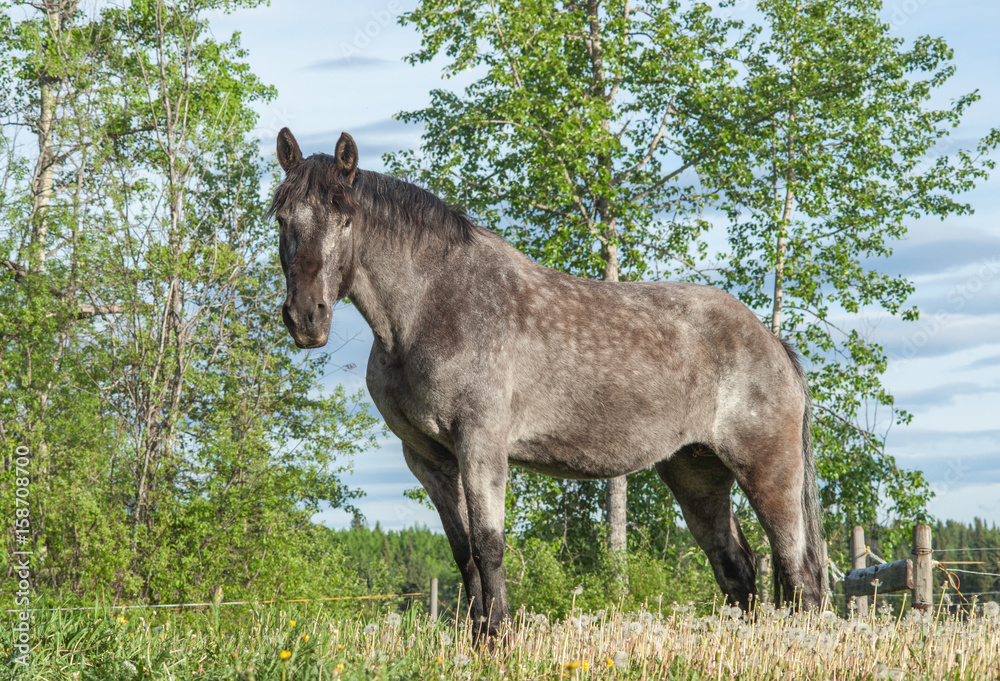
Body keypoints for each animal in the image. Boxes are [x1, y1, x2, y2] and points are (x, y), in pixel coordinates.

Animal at [271, 128, 828, 639]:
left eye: (345, 219)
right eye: (282, 218)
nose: (306, 318)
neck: (430, 307)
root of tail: (772, 342)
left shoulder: (480, 445)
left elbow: (489, 548)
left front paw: (498, 640)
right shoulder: (429, 460)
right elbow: (463, 555)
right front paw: (476, 640)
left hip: (767, 472)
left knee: (797, 572)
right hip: (697, 473)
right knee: (736, 569)